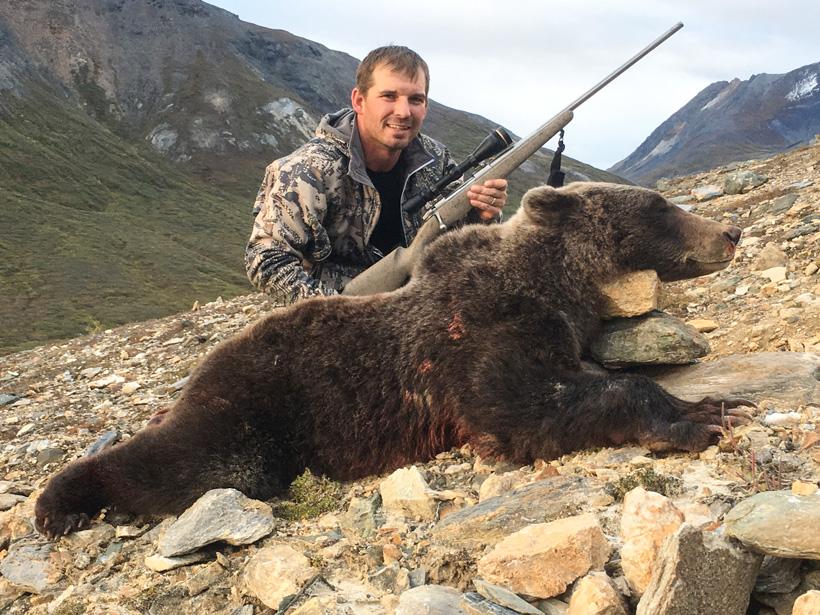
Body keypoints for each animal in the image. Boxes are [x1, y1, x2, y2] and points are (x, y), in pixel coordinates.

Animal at [35, 182, 753, 538]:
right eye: (658, 205)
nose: (731, 230)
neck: (549, 274)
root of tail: (195, 376)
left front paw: (720, 400)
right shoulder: (479, 335)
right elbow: (522, 408)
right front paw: (703, 413)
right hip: (250, 411)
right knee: (183, 462)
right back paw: (62, 503)